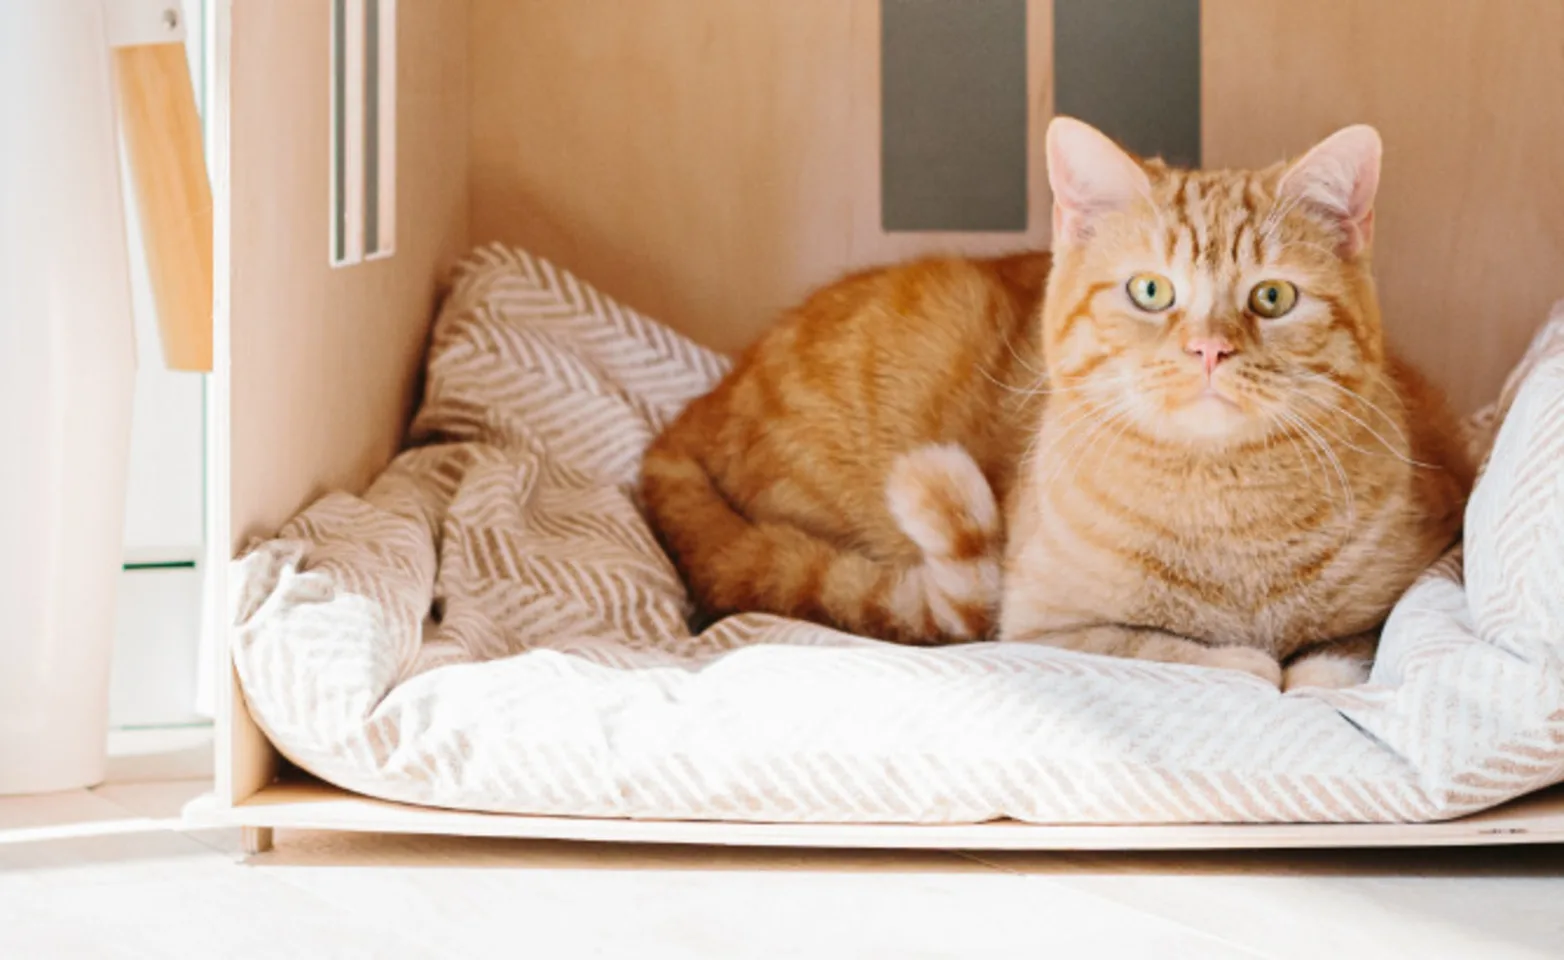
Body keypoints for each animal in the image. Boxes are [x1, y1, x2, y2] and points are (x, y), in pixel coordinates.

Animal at [641, 118, 1470, 691]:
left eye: (1272, 297)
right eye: (1150, 290)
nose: (1208, 348)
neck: (1227, 515)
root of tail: (694, 410)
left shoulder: (1420, 562)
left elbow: (1352, 645)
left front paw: (1313, 668)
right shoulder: (1043, 630)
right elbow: (1173, 650)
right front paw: (1250, 662)